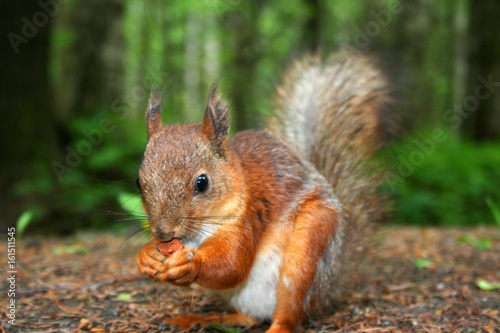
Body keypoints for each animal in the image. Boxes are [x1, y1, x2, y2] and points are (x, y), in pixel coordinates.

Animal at [136, 51, 390, 330]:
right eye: (138, 182)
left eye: (202, 183)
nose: (163, 233)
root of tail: (331, 286)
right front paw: (146, 255)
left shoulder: (249, 216)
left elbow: (232, 265)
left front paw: (189, 263)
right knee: (247, 317)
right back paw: (196, 318)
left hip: (310, 246)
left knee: (290, 314)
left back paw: (277, 326)